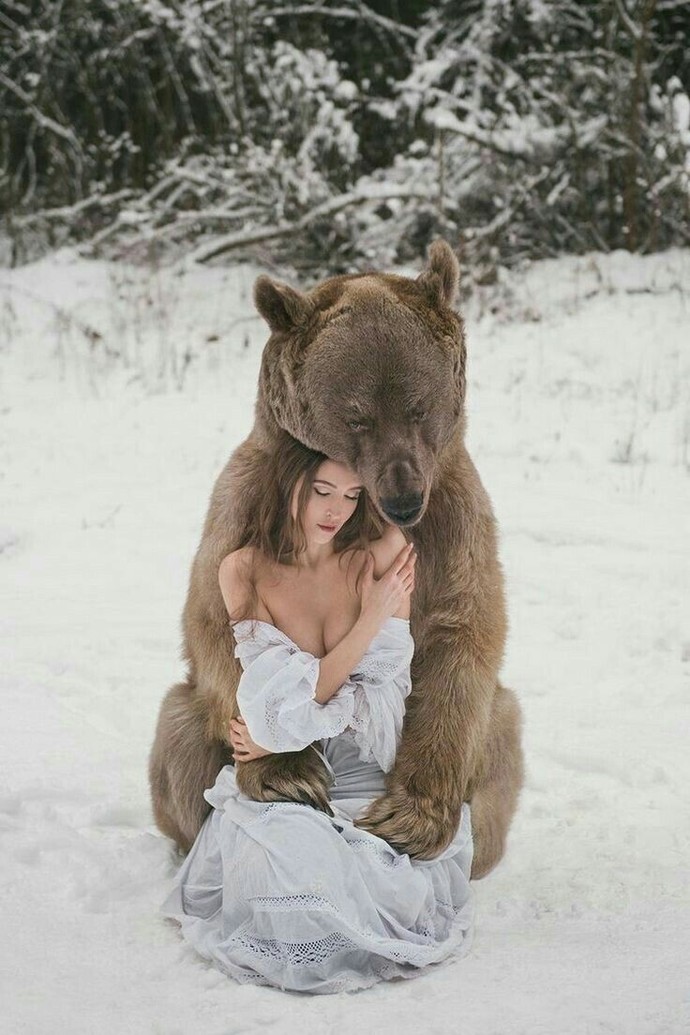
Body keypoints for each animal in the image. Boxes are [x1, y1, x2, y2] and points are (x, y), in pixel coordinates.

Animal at [149, 240, 524, 878]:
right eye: (357, 415)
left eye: (418, 406)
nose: (403, 497)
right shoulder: (244, 506)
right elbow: (218, 628)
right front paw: (289, 773)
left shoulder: (453, 524)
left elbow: (463, 634)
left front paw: (408, 817)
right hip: (188, 724)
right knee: (180, 734)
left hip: (496, 746)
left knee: (498, 739)